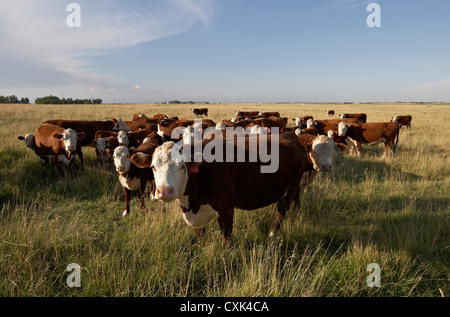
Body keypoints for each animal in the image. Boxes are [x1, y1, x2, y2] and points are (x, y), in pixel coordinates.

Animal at [150, 132, 310, 243]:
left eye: (182, 166)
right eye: (153, 167)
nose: (164, 190)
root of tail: (290, 136)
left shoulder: (226, 210)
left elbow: (227, 239)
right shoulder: (197, 219)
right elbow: (200, 238)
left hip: (291, 188)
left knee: (281, 213)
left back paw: (272, 234)